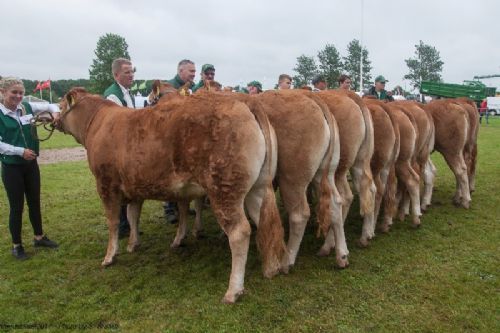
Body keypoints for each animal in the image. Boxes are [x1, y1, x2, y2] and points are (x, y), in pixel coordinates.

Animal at [56, 87, 288, 302]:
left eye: (59, 106)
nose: (53, 120)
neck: (97, 123)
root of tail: (245, 100)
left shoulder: (105, 185)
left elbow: (112, 222)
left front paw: (109, 256)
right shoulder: (135, 187)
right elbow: (133, 216)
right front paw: (133, 244)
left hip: (223, 188)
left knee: (240, 231)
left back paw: (233, 290)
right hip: (258, 187)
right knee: (266, 221)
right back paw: (273, 267)